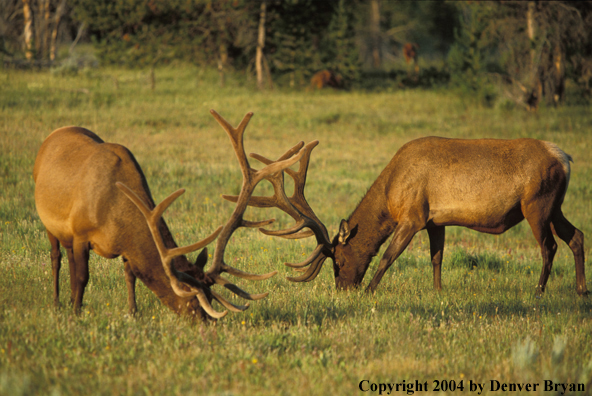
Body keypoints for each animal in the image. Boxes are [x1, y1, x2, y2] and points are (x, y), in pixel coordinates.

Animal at [33, 110, 308, 320]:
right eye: (192, 299)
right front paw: (77, 313)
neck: (113, 213)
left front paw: (132, 313)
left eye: (210, 297)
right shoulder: (81, 232)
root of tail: (52, 135)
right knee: (57, 257)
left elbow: (130, 275)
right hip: (49, 222)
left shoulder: (123, 246)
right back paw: (58, 302)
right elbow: (82, 276)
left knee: (68, 256)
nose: (205, 323)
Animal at [229, 137, 584, 296]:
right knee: (577, 236)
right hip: (555, 206)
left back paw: (538, 291)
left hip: (536, 204)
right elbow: (437, 257)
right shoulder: (435, 220)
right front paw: (438, 292)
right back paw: (581, 289)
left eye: (339, 261)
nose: (344, 289)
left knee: (550, 246)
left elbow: (388, 255)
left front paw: (370, 290)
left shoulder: (413, 215)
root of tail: (565, 158)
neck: (391, 193)